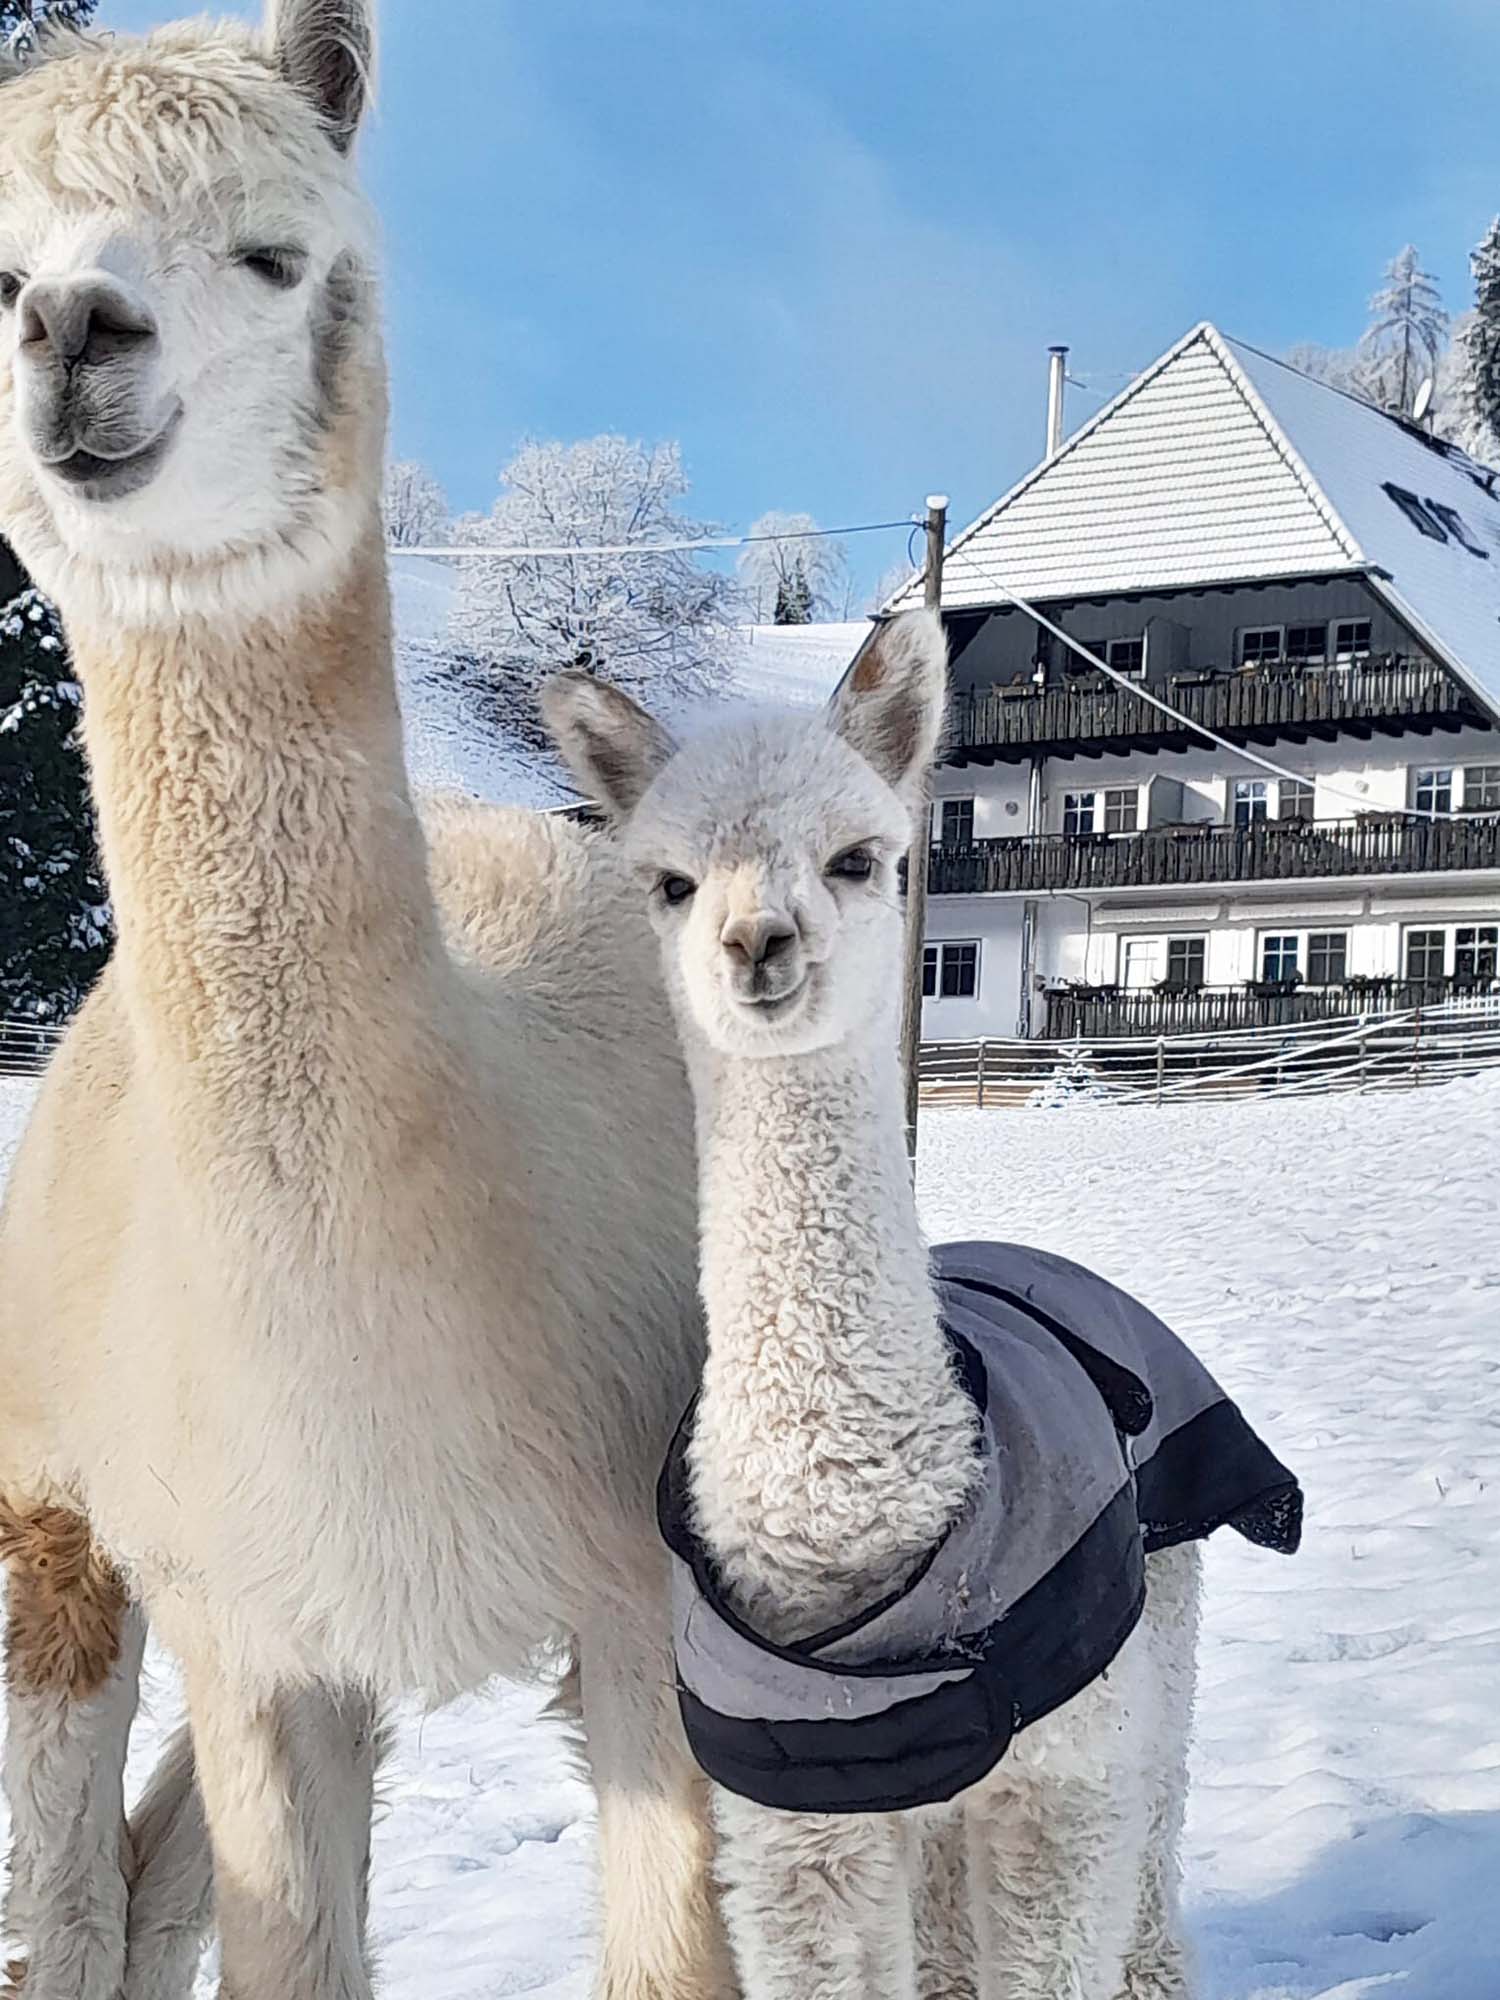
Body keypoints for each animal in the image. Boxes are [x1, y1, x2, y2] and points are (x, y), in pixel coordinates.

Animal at [0, 5, 732, 1996]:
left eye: (277, 253)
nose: (72, 331)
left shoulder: (637, 1601)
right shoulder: (256, 1631)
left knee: (137, 1885)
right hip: (60, 1510)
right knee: (75, 1899)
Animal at [544, 614, 1208, 2000]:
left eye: (861, 858)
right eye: (669, 883)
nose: (758, 942)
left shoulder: (1064, 1788)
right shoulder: (800, 1824)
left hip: (1160, 1649)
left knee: (1160, 1834)